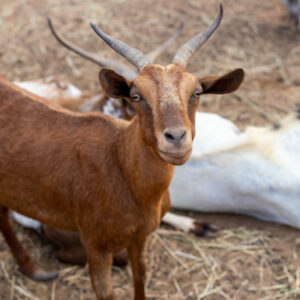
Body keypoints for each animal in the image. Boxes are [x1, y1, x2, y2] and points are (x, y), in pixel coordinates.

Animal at [0, 5, 244, 300]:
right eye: (136, 96)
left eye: (196, 91)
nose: (176, 138)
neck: (119, 164)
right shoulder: (95, 245)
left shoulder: (140, 237)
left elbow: (140, 276)